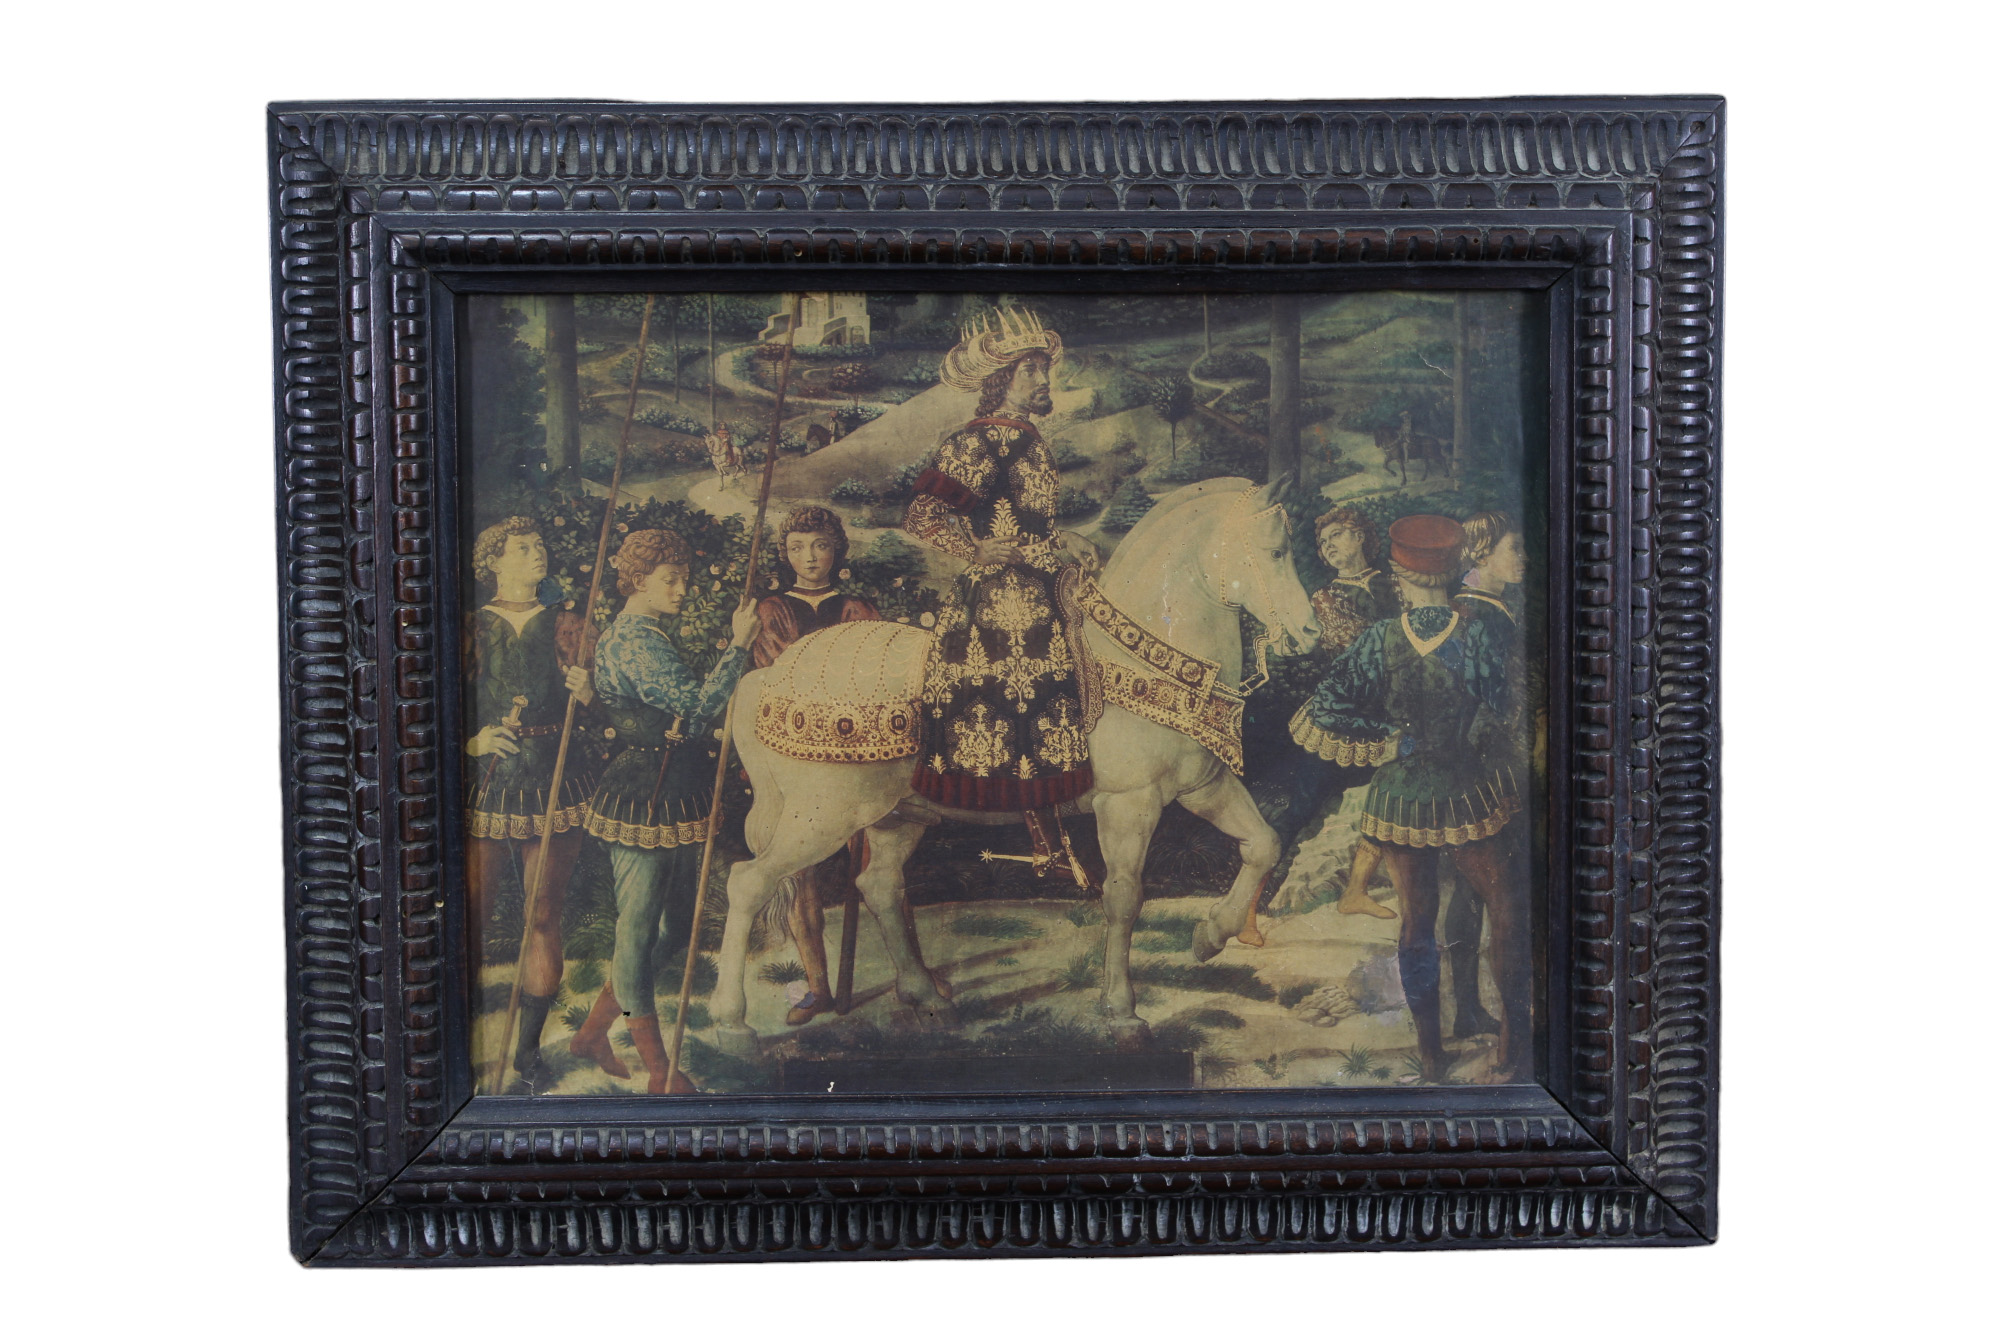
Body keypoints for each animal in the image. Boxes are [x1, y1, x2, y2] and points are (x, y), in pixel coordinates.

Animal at [708, 476, 1320, 1054]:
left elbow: (1264, 845)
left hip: (895, 815)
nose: (1311, 632)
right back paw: (732, 1023)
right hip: (823, 816)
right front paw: (1122, 1012)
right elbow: (1124, 898)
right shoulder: (1129, 804)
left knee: (877, 885)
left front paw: (1210, 935)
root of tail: (767, 674)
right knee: (748, 882)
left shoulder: (1204, 787)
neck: (1140, 657)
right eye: (1275, 551)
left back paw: (929, 997)